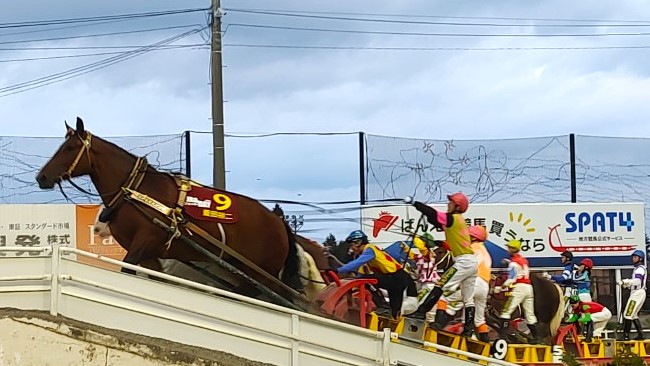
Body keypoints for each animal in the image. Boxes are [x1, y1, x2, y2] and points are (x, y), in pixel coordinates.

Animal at [33, 118, 302, 306]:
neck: (138, 191)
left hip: (264, 272)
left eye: (70, 148)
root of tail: (278, 221)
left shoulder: (144, 242)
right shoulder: (151, 254)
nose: (42, 177)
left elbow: (127, 271)